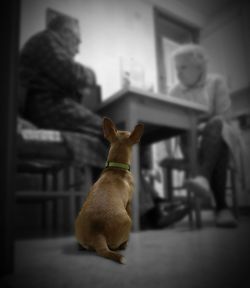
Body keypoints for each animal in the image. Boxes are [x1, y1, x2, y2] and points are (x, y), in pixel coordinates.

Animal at [74, 116, 144, 264]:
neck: (116, 167)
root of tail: (98, 234)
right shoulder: (129, 204)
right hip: (127, 221)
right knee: (118, 245)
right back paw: (124, 244)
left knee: (83, 245)